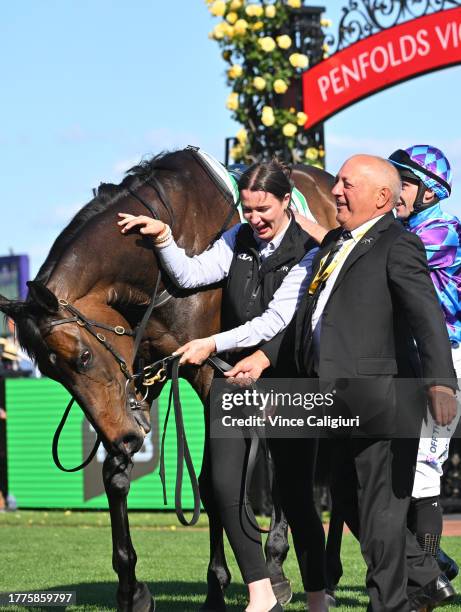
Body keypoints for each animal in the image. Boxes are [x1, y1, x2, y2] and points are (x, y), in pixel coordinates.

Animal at [0, 149, 334, 612]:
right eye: (53, 374)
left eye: (82, 356)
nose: (125, 437)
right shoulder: (144, 369)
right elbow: (116, 475)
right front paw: (131, 588)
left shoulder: (212, 372)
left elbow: (211, 483)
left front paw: (216, 587)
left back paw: (282, 565)